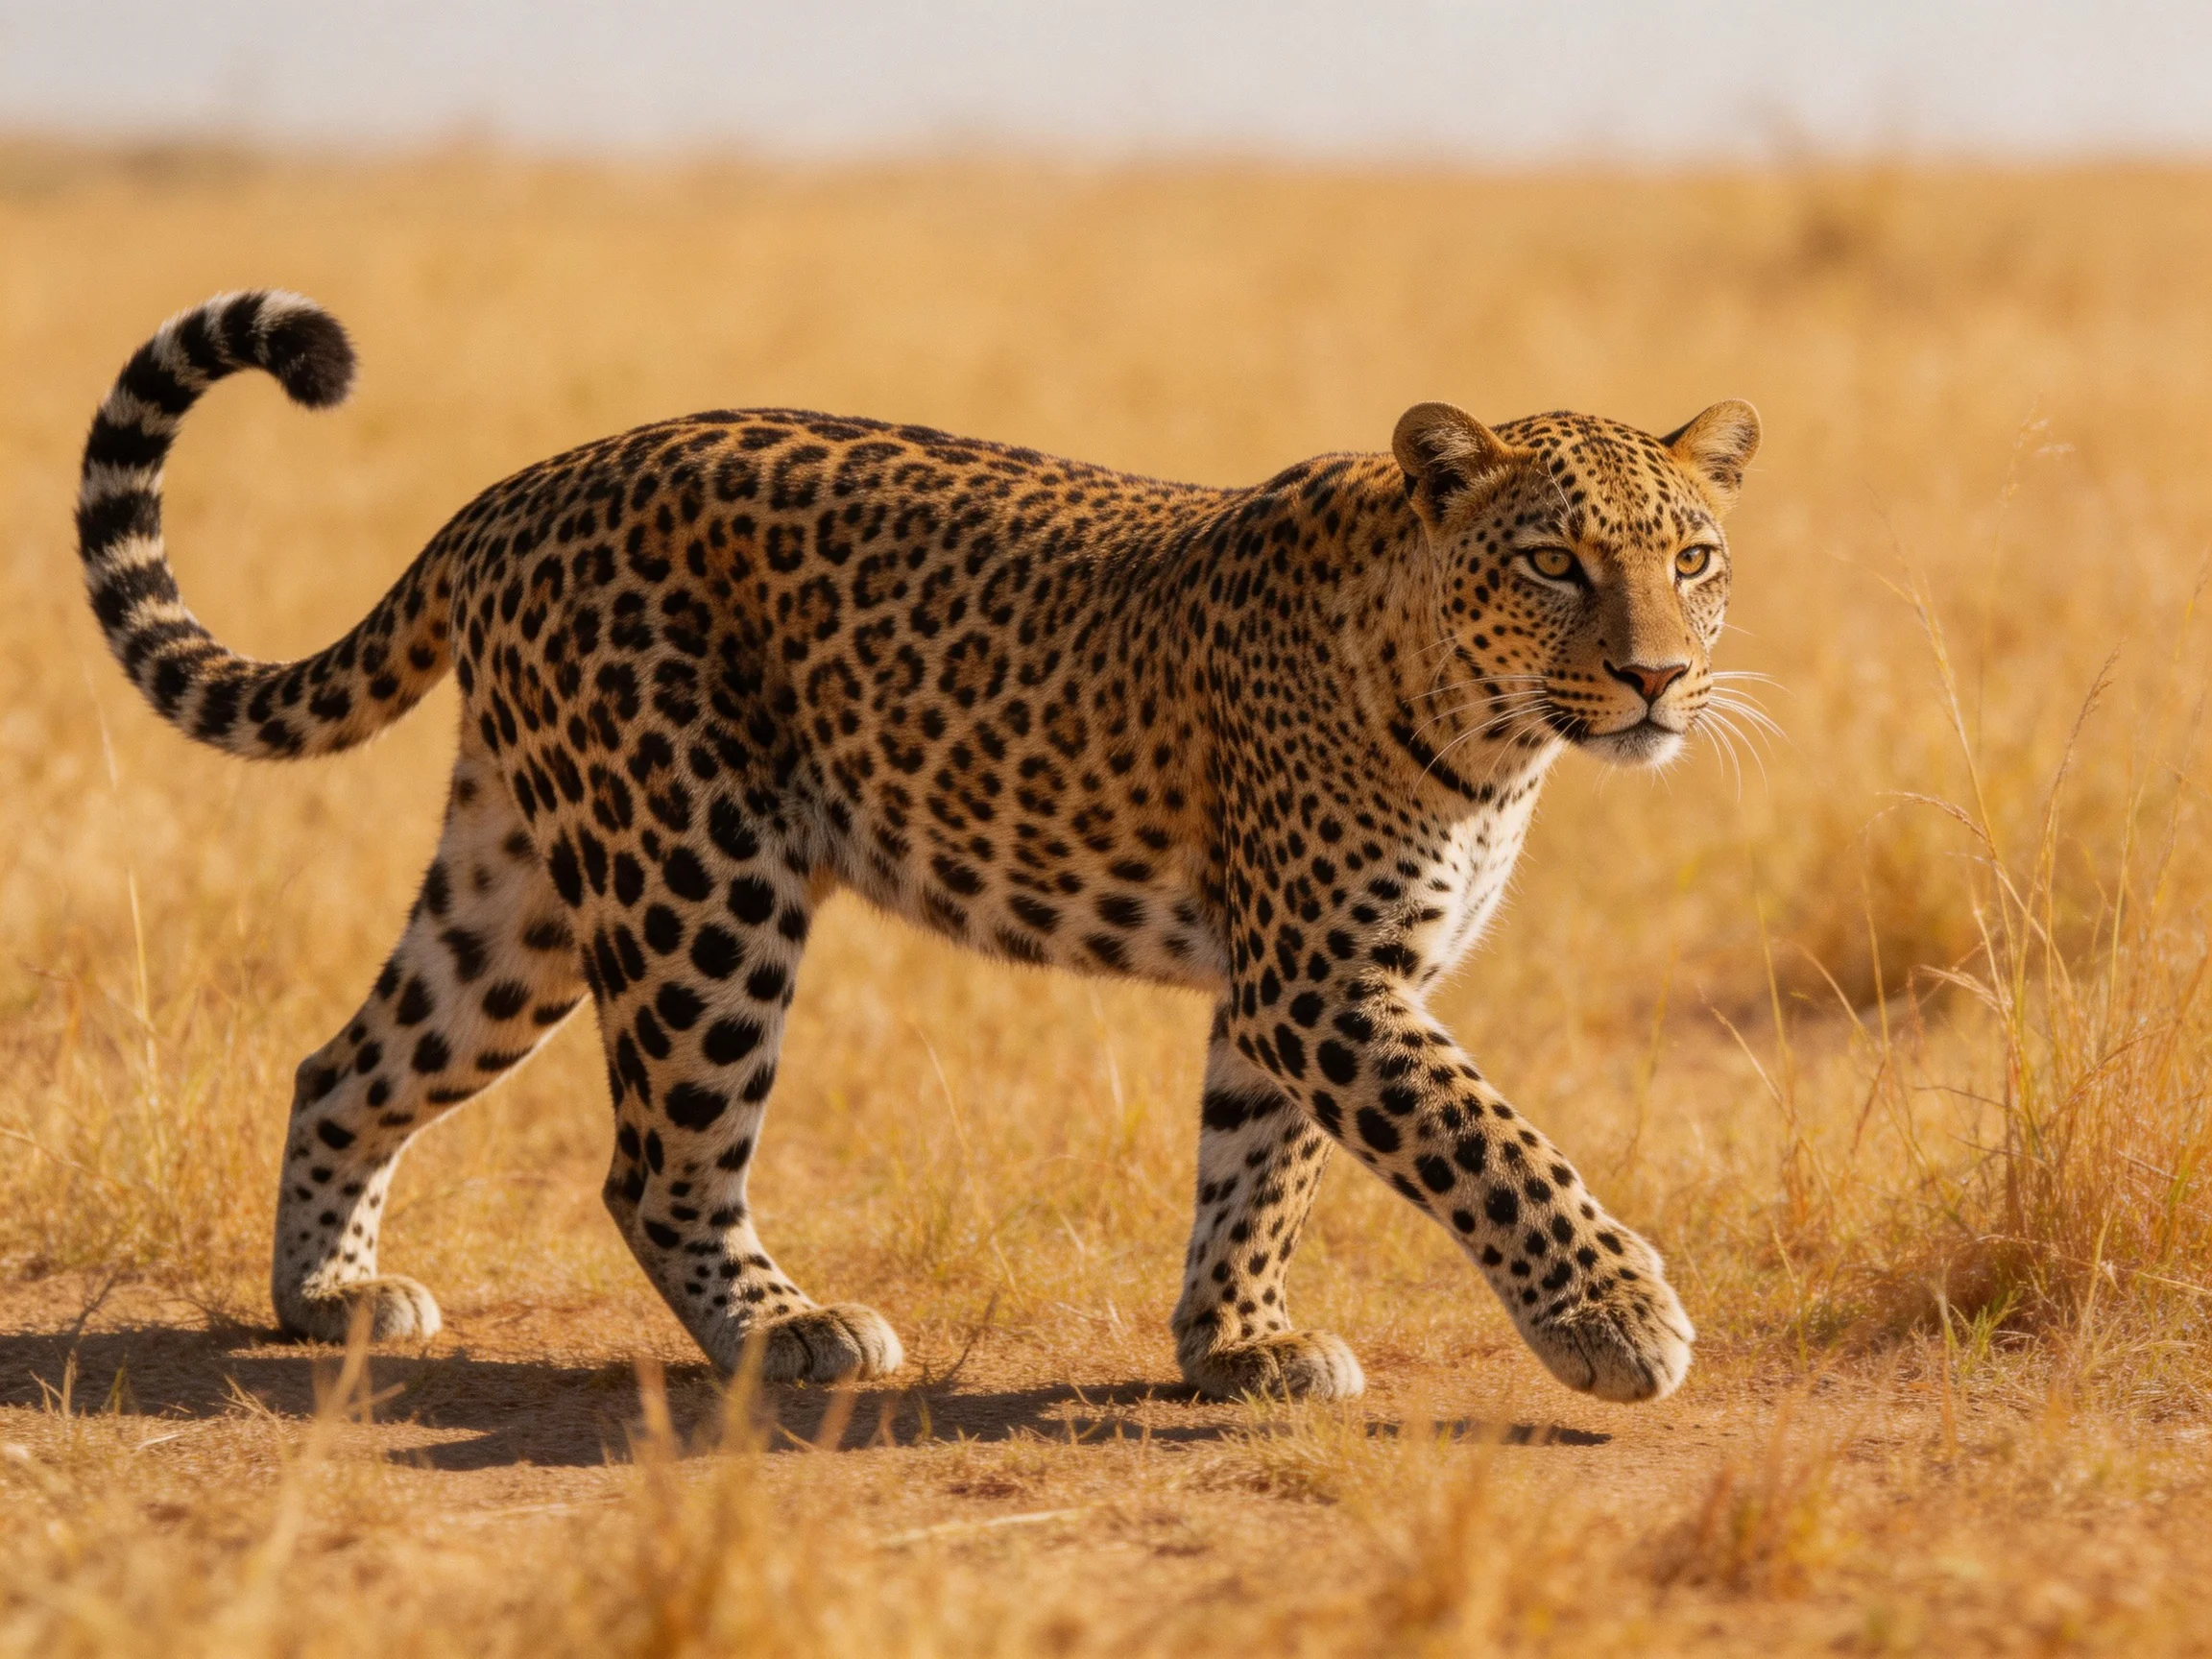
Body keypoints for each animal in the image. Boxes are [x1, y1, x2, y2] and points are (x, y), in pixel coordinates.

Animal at [73, 290, 1758, 1404]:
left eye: (1693, 557)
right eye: (1552, 562)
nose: (1658, 678)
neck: (1497, 741)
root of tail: (517, 489)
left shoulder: (1305, 985)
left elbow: (1258, 1167)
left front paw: (1238, 1345)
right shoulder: (1325, 979)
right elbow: (1493, 1142)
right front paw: (1618, 1321)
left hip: (522, 888)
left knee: (347, 1063)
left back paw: (332, 1297)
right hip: (699, 878)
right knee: (655, 1161)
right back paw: (787, 1332)